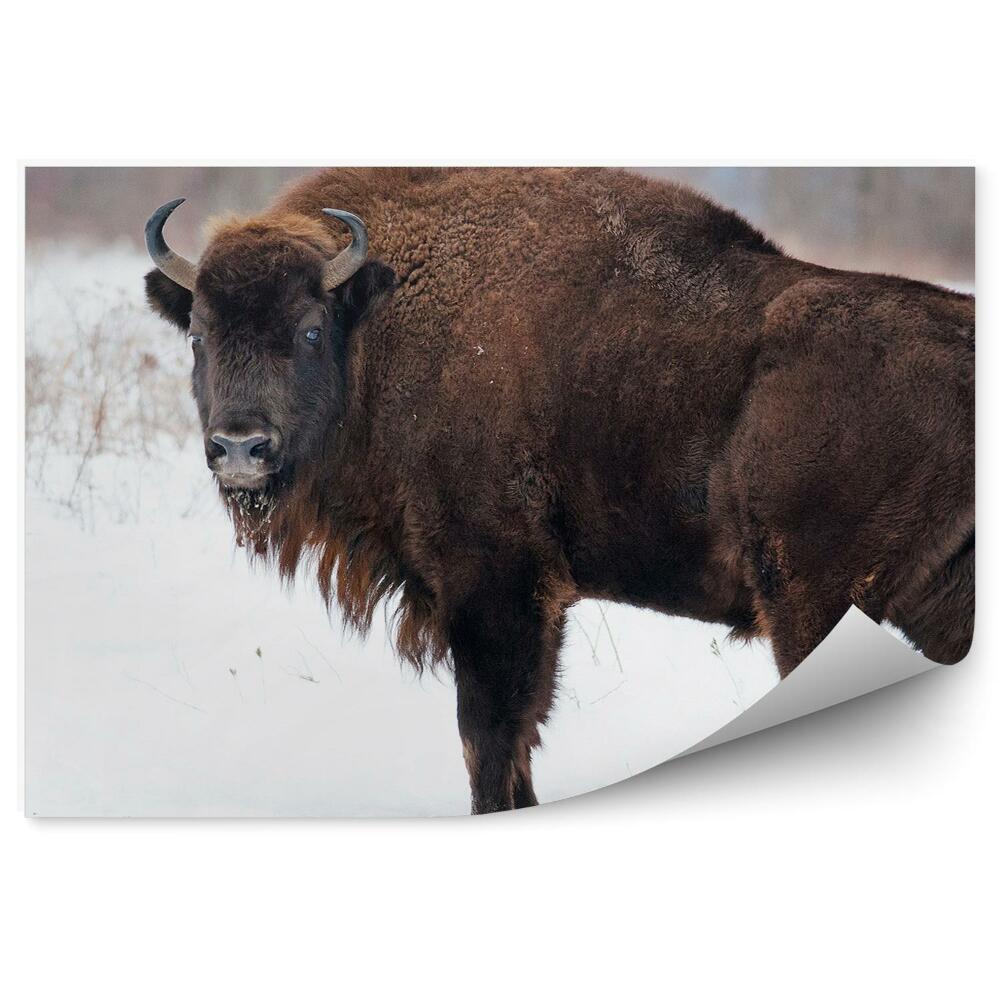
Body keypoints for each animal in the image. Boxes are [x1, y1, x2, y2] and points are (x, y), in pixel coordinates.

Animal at [144, 168, 974, 813]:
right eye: (199, 335)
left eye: (311, 329)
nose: (241, 447)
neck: (378, 324)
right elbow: (517, 735)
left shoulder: (494, 585)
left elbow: (489, 735)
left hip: (813, 601)